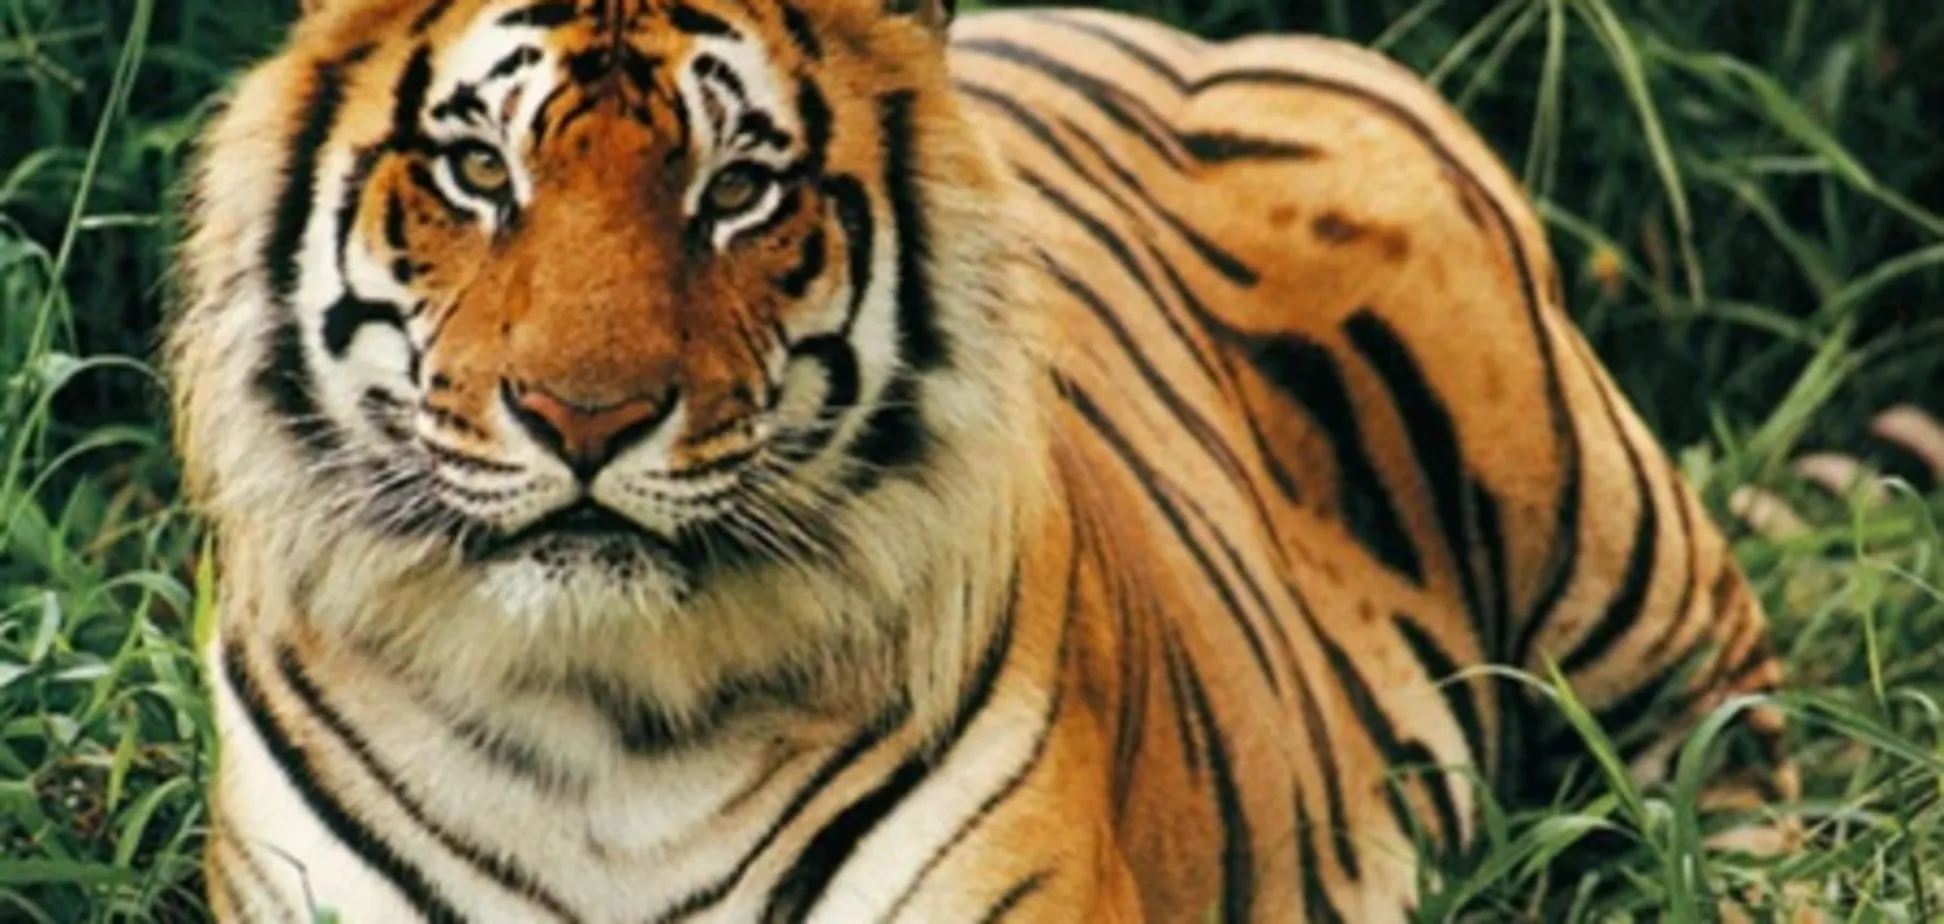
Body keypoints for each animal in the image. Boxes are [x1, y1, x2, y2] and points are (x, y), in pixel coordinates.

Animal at [166, 0, 1810, 921]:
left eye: (739, 189)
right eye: (475, 171)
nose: (586, 417)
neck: (607, 724)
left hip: (1606, 540)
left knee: (1732, 744)